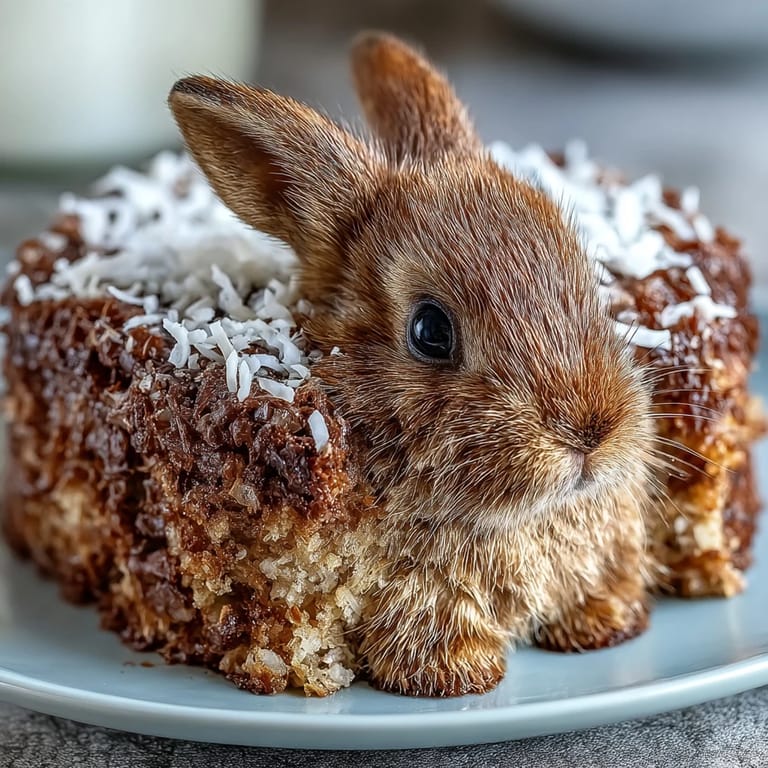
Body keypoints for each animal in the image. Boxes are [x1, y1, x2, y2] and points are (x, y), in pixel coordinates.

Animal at [168, 32, 656, 697]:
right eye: (429, 331)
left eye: (590, 279)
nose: (590, 434)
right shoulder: (428, 595)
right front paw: (460, 675)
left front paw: (605, 624)